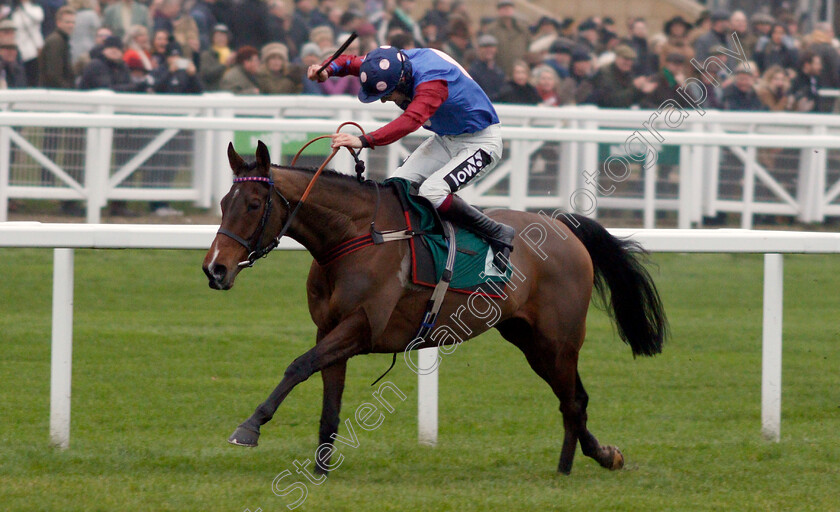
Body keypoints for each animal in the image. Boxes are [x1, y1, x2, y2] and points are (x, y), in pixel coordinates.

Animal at [200, 141, 668, 476]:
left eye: (254, 205)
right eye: (223, 204)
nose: (215, 268)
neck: (355, 235)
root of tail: (563, 227)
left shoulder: (361, 328)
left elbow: (297, 366)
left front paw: (249, 427)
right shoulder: (330, 329)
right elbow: (328, 398)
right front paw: (319, 468)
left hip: (558, 340)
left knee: (573, 401)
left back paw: (572, 466)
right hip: (530, 339)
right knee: (574, 399)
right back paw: (597, 457)